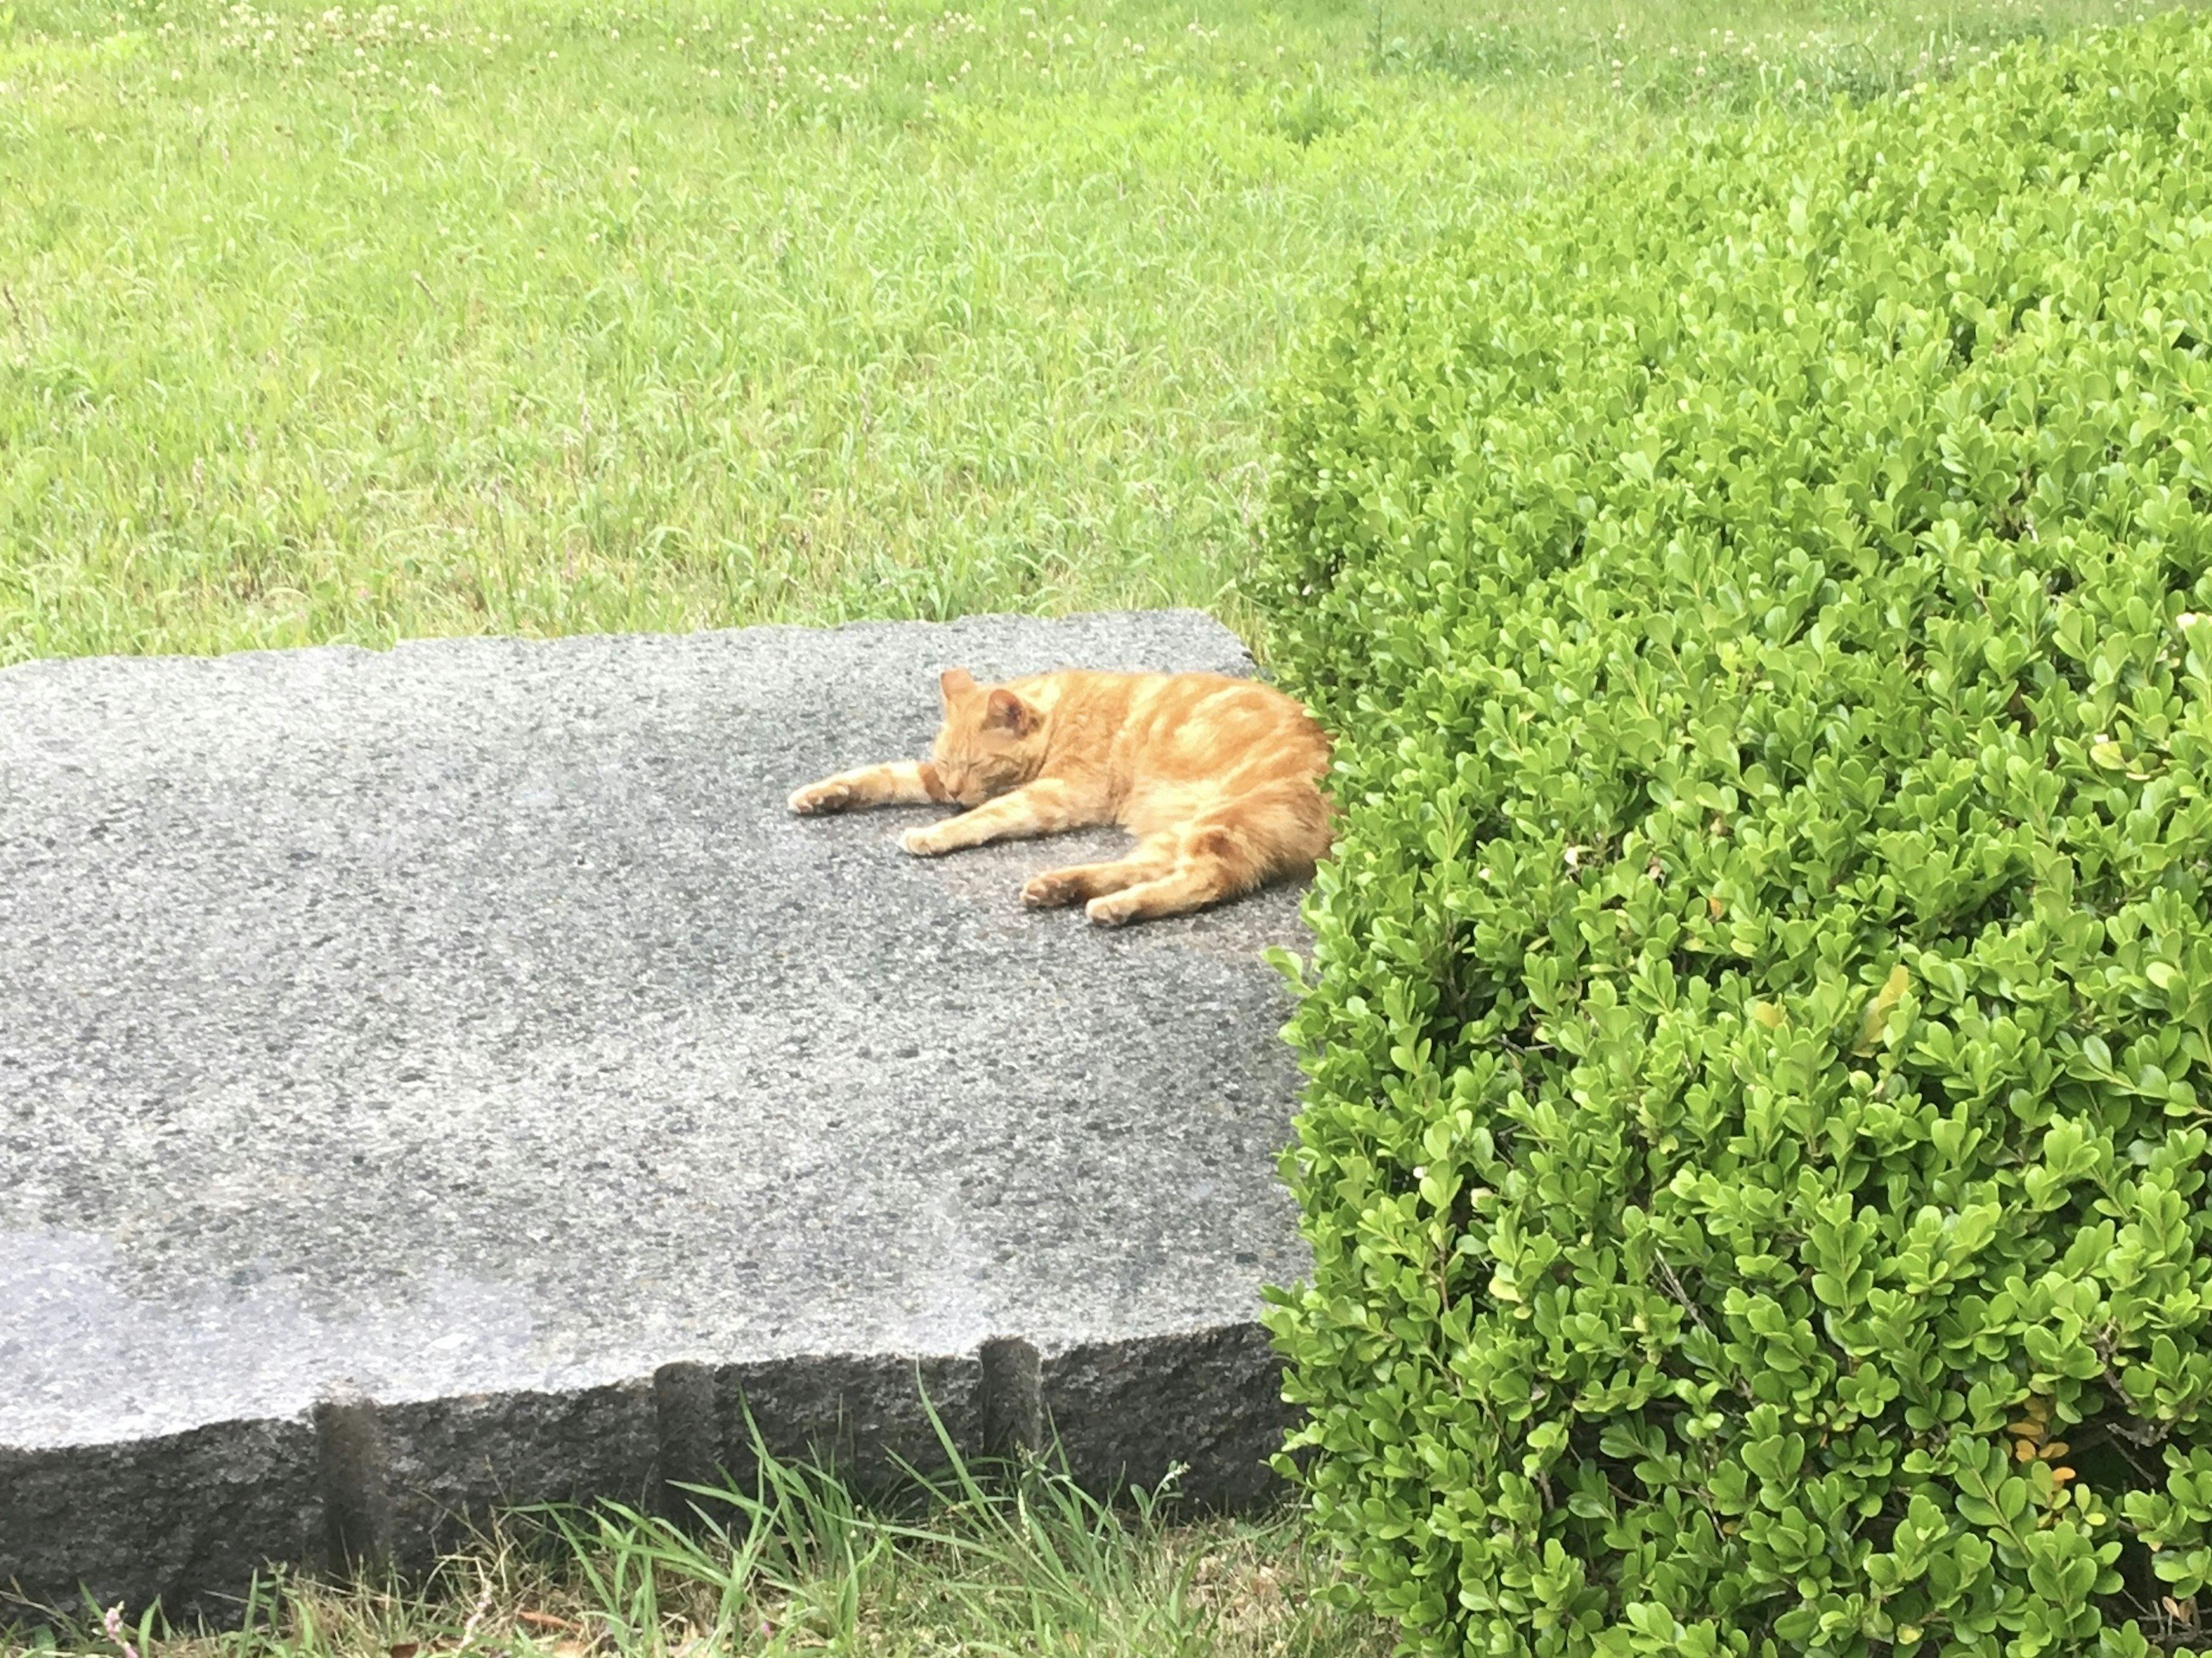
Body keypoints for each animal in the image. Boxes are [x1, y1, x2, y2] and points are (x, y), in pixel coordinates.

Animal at [796, 664, 1327, 925]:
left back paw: (1115, 908)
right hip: (1182, 831)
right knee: (1145, 867)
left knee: (1206, 880)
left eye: (975, 764)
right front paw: (824, 793)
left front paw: (936, 832)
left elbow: (990, 813)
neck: (1065, 710)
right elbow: (885, 774)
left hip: (1222, 823)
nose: (955, 790)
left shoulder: (1061, 793)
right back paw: (1061, 887)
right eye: (948, 765)